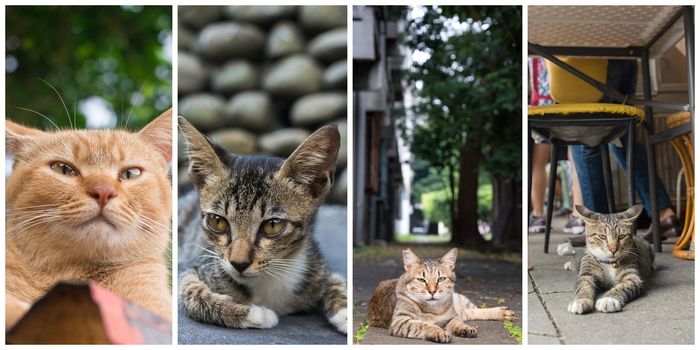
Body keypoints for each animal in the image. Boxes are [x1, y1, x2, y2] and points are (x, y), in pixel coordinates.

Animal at [178, 117, 348, 334]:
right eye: (217, 221)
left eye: (273, 225)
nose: (239, 263)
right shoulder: (190, 267)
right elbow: (191, 293)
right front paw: (256, 313)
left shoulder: (318, 265)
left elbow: (337, 281)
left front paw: (346, 313)